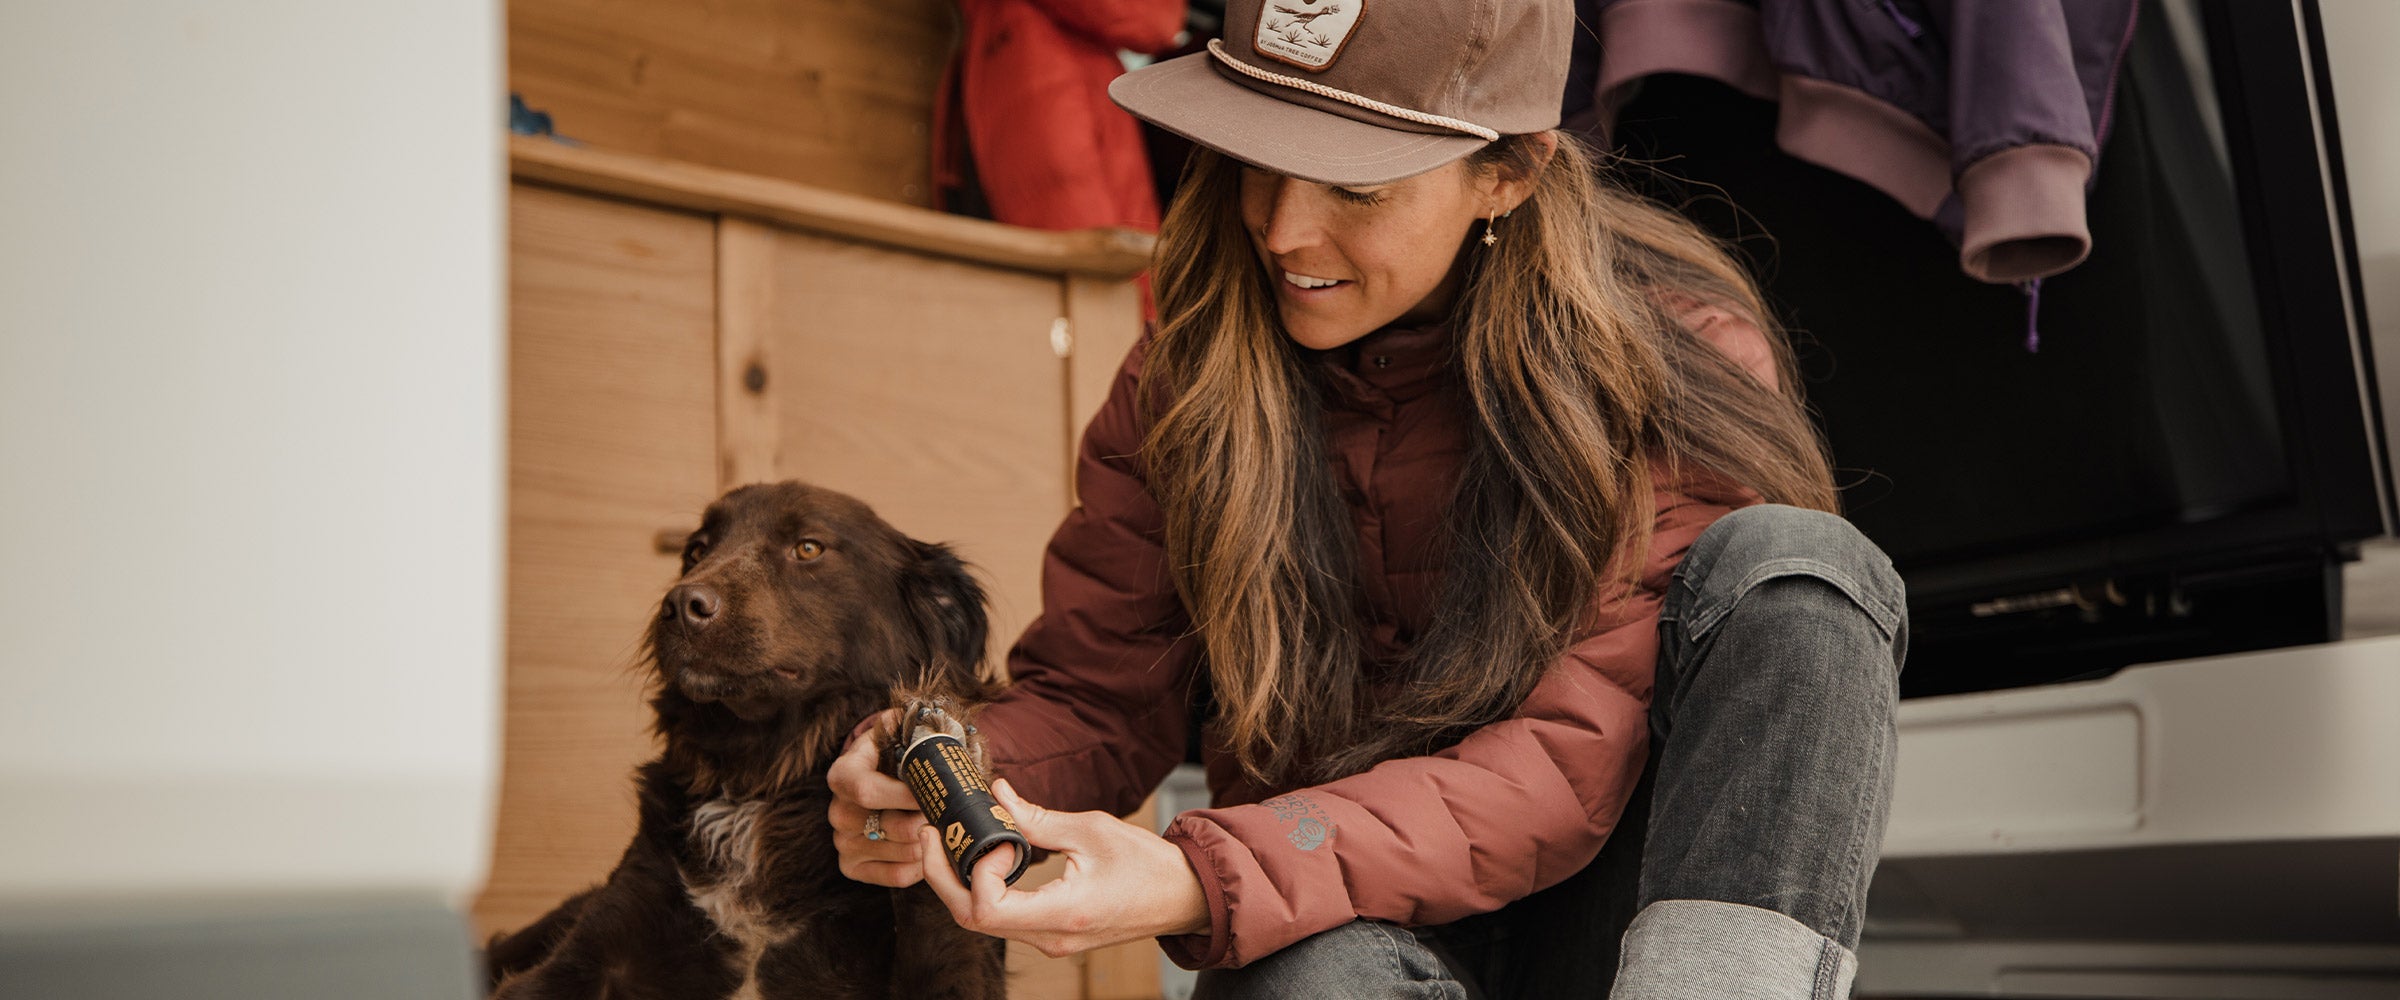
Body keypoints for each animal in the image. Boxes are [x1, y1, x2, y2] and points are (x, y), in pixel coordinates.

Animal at [482, 479, 1008, 997]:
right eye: (696, 550)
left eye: (808, 547)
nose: (681, 606)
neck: (759, 779)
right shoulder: (595, 949)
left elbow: (938, 915)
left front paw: (932, 755)